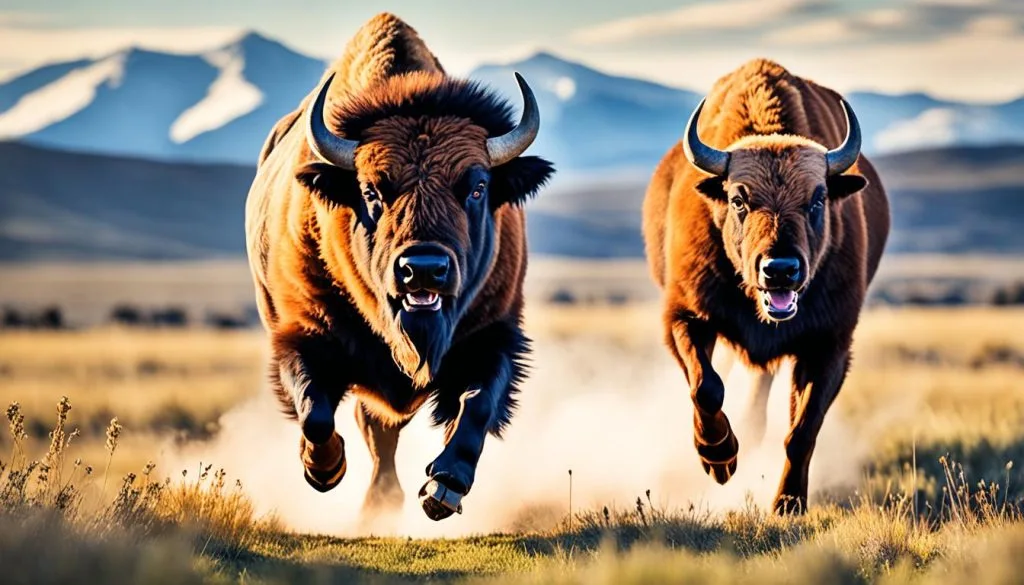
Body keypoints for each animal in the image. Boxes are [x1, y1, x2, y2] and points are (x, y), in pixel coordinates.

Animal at [245, 13, 554, 521]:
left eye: (477, 187)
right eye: (371, 190)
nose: (424, 269)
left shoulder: (495, 333)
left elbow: (476, 402)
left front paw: (443, 488)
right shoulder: (300, 331)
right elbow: (315, 410)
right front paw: (324, 470)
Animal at [642, 58, 890, 513]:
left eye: (817, 199)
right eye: (739, 199)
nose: (780, 270)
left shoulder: (829, 344)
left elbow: (802, 429)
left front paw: (788, 503)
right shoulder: (685, 317)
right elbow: (705, 386)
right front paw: (719, 458)